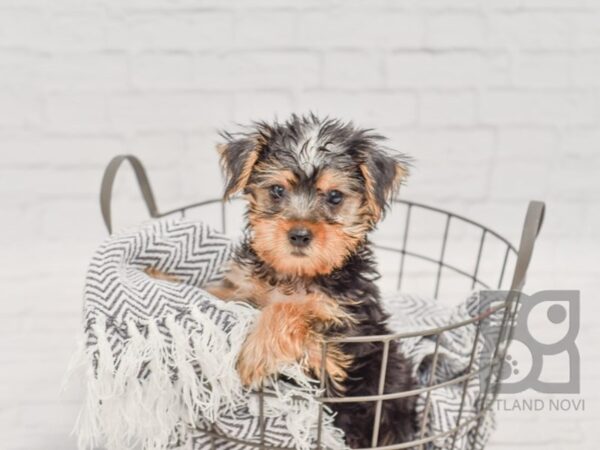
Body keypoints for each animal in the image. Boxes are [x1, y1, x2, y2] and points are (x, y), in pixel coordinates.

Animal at [205, 114, 412, 448]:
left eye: (335, 196)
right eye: (277, 190)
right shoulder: (244, 288)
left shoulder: (339, 342)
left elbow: (287, 309)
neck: (296, 274)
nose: (299, 234)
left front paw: (254, 356)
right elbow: (217, 292)